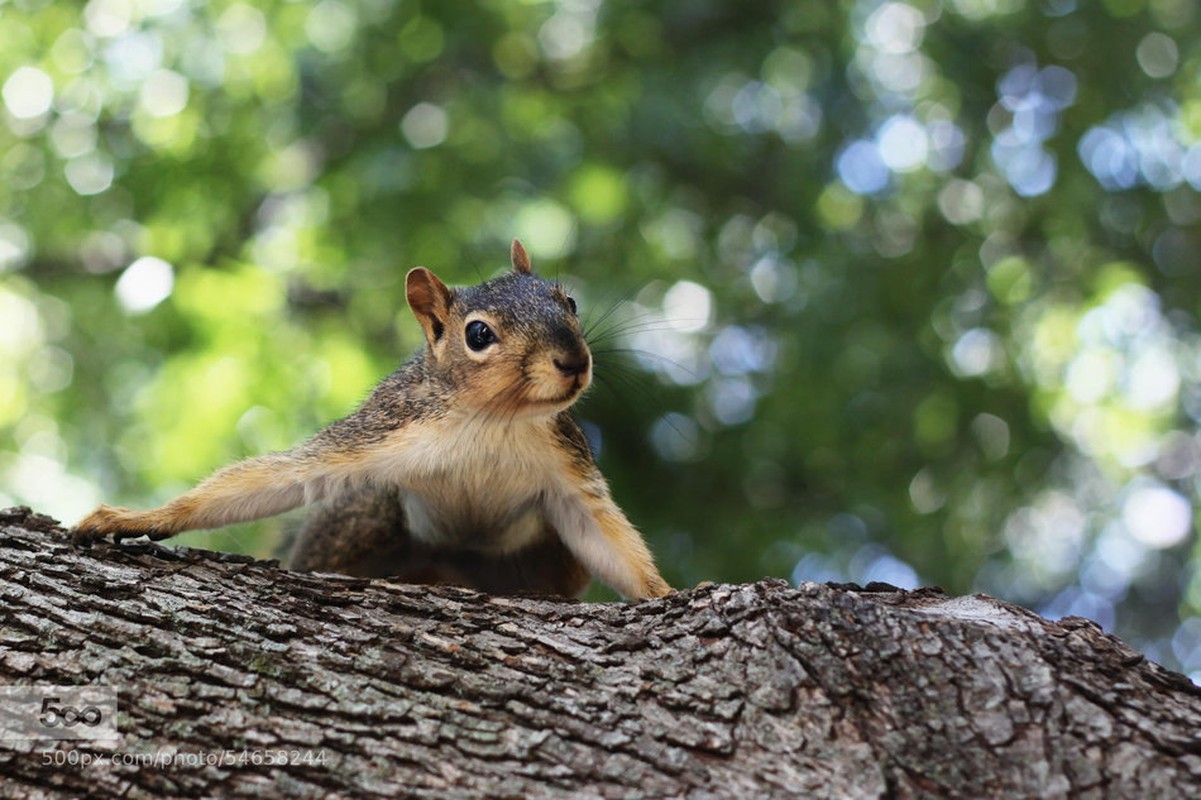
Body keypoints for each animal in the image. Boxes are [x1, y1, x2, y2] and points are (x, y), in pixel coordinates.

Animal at [70, 241, 672, 598]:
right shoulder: (384, 428)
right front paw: (139, 518)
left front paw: (664, 591)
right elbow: (282, 477)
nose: (573, 361)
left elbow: (604, 533)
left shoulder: (564, 465)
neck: (492, 420)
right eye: (478, 334)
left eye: (568, 302)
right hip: (369, 513)